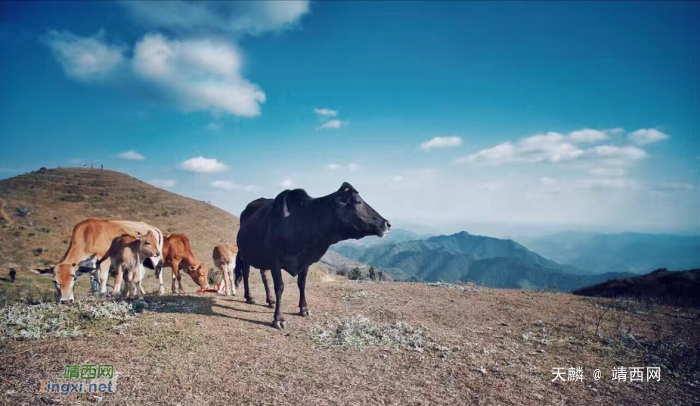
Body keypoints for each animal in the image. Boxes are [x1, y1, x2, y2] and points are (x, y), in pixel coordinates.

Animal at [33, 220, 165, 302]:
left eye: (73, 278)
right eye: (54, 281)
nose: (65, 300)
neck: (86, 236)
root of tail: (153, 228)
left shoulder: (103, 259)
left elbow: (103, 278)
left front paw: (103, 293)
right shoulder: (92, 264)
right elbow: (95, 279)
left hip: (155, 257)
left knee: (159, 272)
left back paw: (161, 291)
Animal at [234, 182, 388, 328]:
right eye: (358, 202)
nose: (387, 223)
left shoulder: (305, 260)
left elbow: (302, 284)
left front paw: (304, 309)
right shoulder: (275, 260)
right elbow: (280, 286)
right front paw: (278, 318)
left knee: (264, 275)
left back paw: (270, 300)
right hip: (245, 253)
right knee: (246, 273)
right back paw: (249, 297)